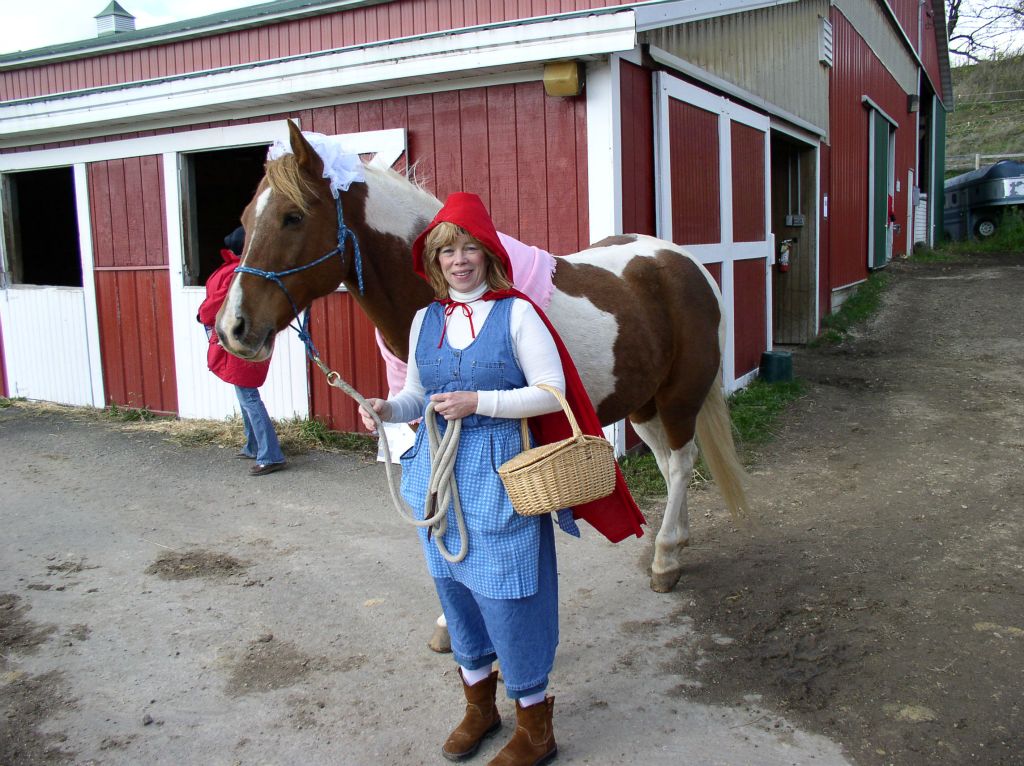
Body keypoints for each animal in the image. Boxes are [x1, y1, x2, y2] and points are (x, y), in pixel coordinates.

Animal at [218, 119, 745, 610]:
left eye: (293, 216)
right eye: (244, 218)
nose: (232, 329)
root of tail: (684, 263)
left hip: (679, 397)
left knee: (681, 463)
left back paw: (665, 558)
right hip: (643, 403)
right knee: (670, 463)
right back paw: (676, 543)